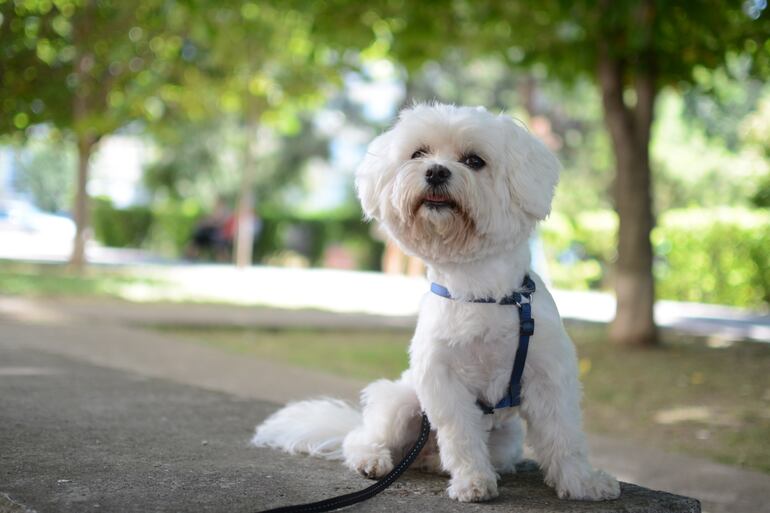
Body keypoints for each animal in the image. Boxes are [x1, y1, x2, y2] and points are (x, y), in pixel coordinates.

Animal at [255, 103, 620, 500]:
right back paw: (373, 459)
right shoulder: (442, 380)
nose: (435, 171)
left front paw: (582, 482)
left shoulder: (549, 374)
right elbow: (461, 436)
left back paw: (435, 462)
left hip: (506, 439)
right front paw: (473, 481)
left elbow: (563, 437)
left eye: (474, 160)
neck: (479, 291)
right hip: (402, 401)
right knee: (362, 437)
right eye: (419, 154)